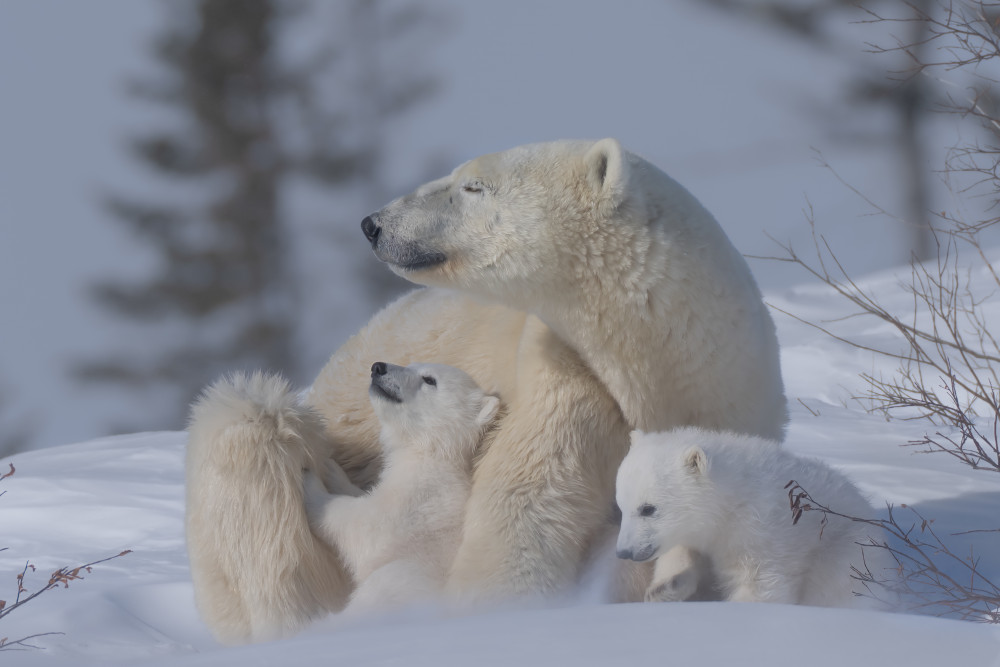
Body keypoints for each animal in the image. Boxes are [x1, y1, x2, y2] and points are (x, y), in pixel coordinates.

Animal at [298, 362, 498, 612]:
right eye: (411, 364)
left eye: (429, 379)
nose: (378, 367)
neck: (429, 453)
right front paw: (331, 469)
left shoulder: (420, 499)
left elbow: (368, 530)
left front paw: (310, 483)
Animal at [612, 430, 880, 608]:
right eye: (621, 506)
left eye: (648, 509)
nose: (624, 552)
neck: (733, 501)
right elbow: (680, 554)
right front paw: (663, 589)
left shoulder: (760, 535)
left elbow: (760, 585)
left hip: (843, 555)